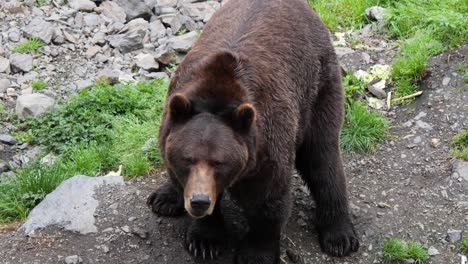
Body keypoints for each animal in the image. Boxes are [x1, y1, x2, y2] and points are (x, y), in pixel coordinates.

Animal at [148, 0, 360, 260]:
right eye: (187, 159)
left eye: (219, 162)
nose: (199, 201)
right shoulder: (171, 132)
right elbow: (179, 176)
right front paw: (205, 240)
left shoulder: (266, 142)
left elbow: (268, 200)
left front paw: (255, 253)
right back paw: (164, 199)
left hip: (319, 85)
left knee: (322, 155)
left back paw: (340, 236)